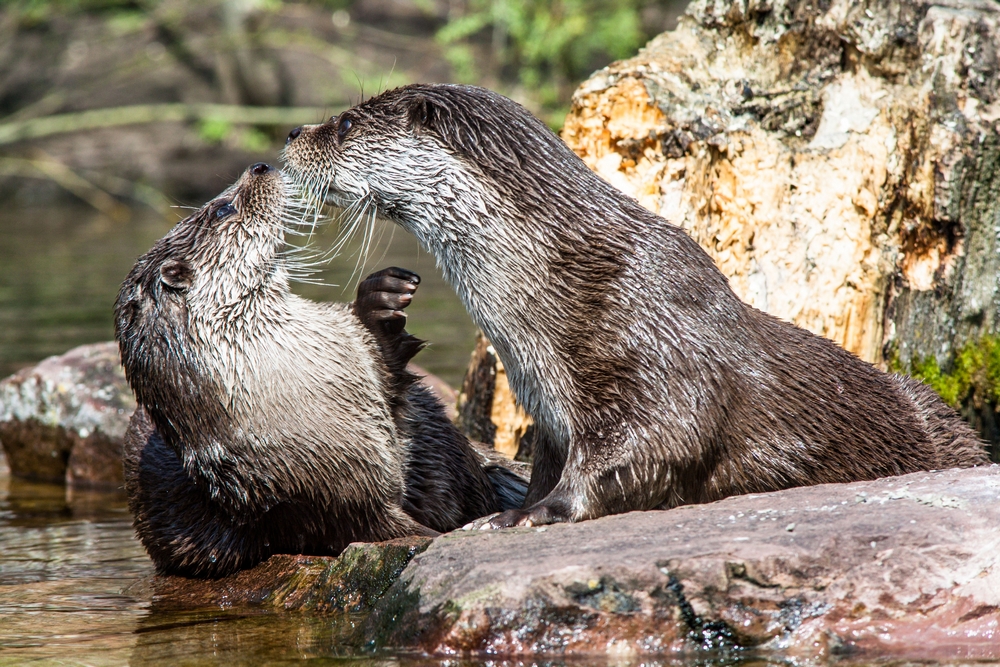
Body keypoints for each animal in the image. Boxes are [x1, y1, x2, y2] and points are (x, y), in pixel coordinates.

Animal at [284, 83, 992, 528]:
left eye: (345, 124)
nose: (291, 131)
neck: (561, 279)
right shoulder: (549, 413)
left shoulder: (655, 349)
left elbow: (657, 443)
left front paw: (530, 515)